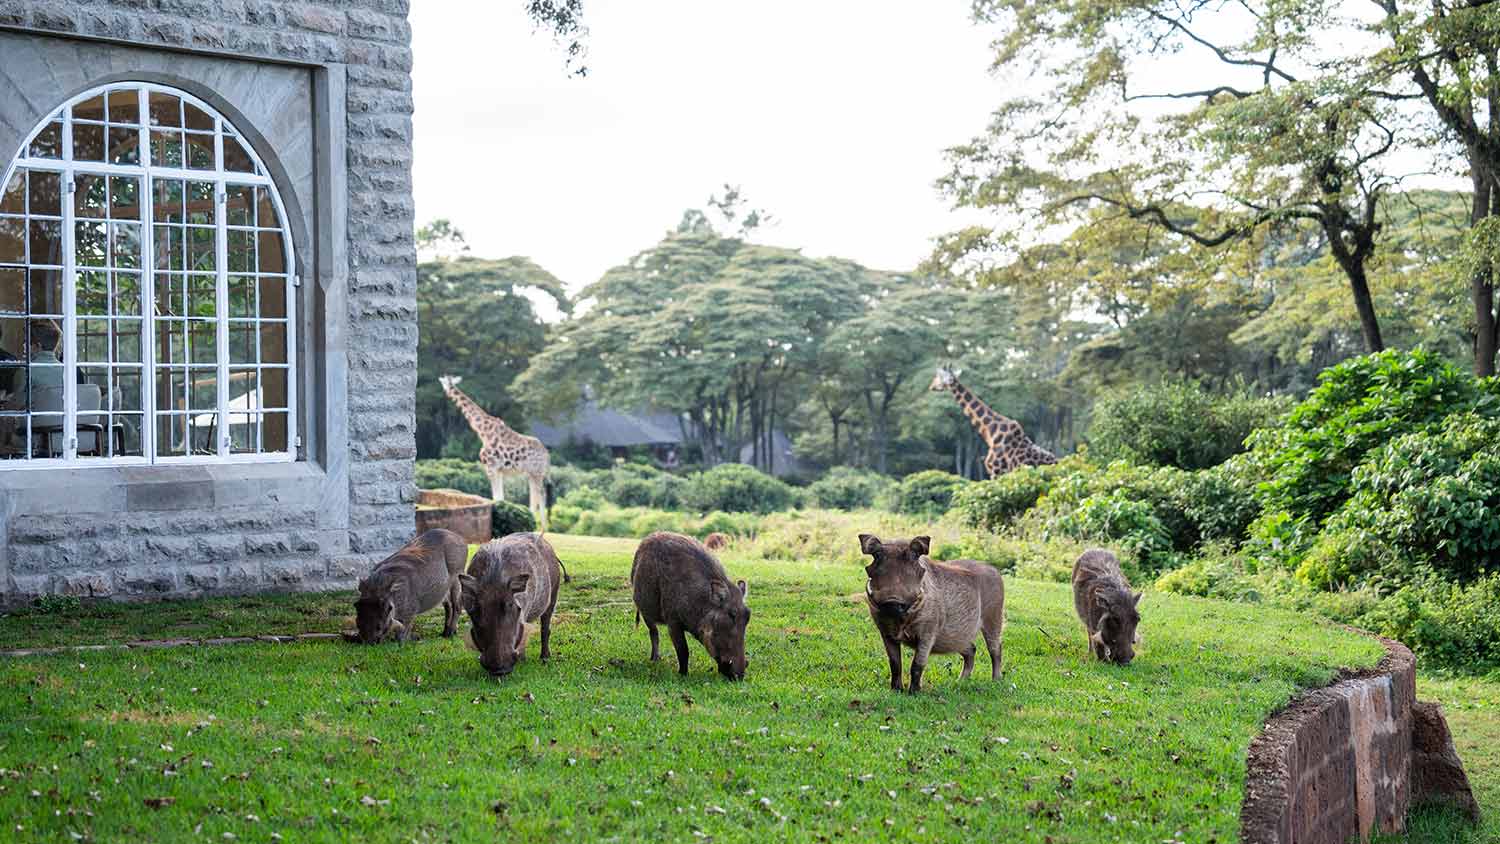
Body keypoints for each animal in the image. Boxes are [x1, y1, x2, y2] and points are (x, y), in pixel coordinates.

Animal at [439, 375, 550, 530]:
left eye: (444, 383)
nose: (444, 392)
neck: (482, 431)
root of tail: (547, 455)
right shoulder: (499, 470)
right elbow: (500, 497)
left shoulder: (490, 467)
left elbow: (496, 497)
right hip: (532, 473)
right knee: (537, 493)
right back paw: (536, 522)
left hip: (536, 472)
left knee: (540, 493)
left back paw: (541, 526)